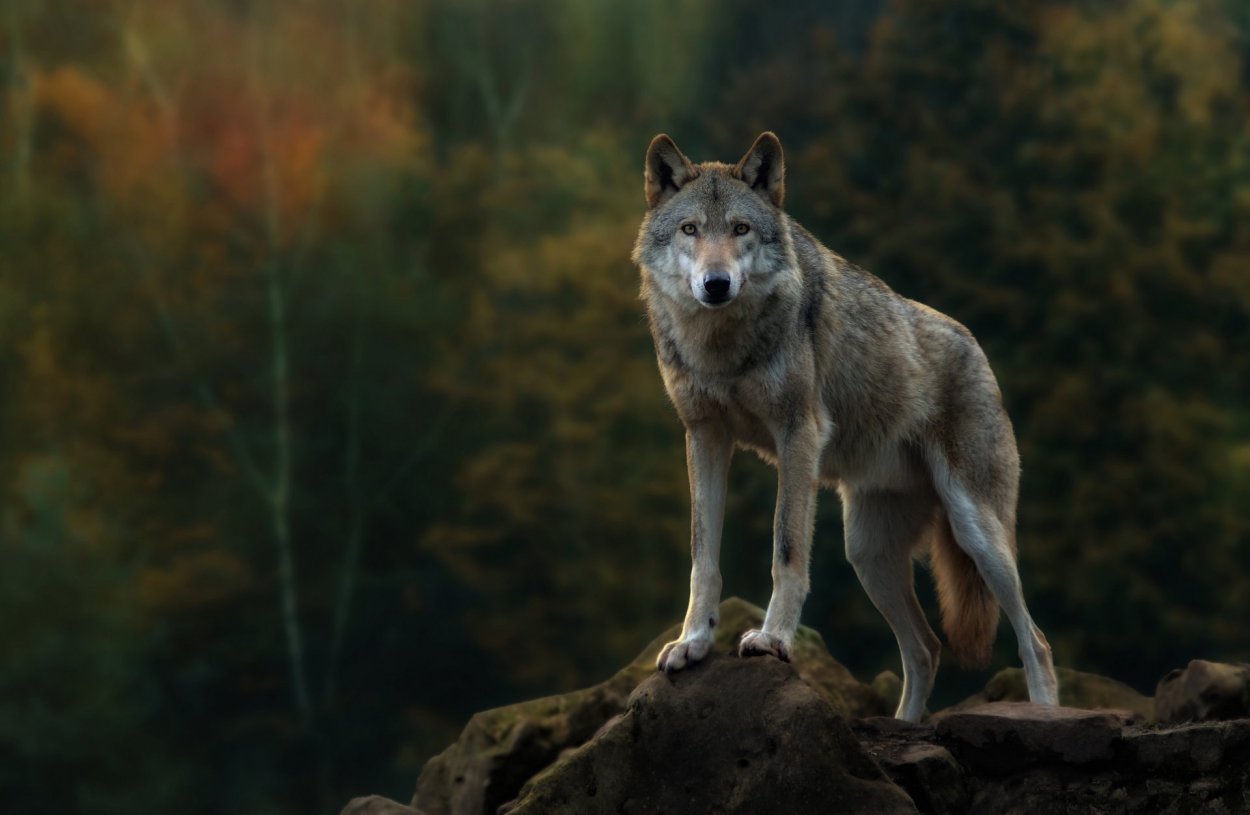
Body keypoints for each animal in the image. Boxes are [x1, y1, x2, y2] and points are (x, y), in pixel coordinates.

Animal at [631, 132, 1059, 721]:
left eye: (740, 229)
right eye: (690, 229)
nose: (716, 284)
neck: (722, 347)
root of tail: (977, 349)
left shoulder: (799, 435)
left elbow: (786, 549)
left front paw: (772, 639)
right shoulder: (704, 437)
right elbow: (704, 558)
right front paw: (693, 642)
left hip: (977, 532)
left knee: (1034, 640)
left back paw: (1046, 714)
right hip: (867, 553)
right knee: (926, 649)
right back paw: (904, 724)